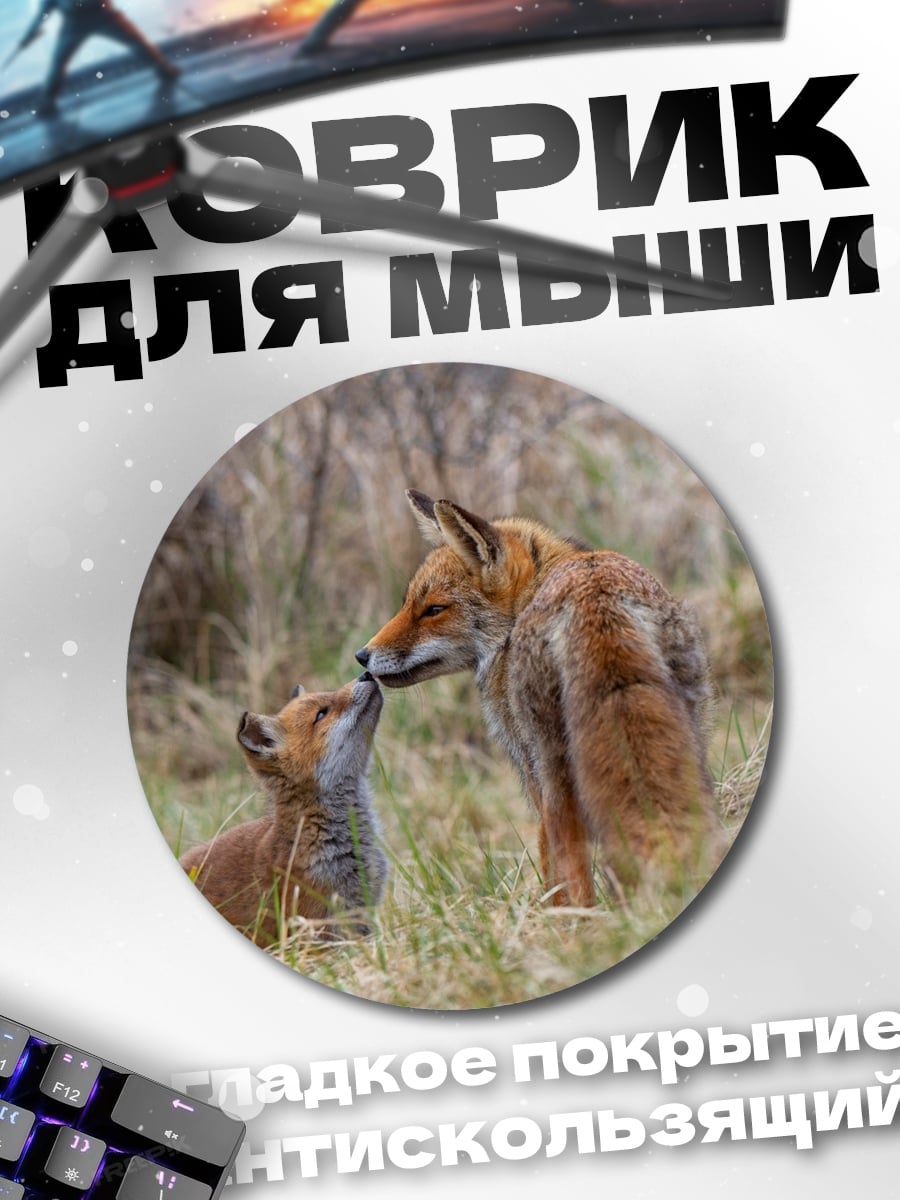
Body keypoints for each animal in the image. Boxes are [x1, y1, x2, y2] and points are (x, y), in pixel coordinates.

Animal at [356, 489, 723, 907]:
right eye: (407, 604)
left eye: (434, 609)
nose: (362, 656)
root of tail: (597, 596)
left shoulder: (531, 770)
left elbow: (552, 864)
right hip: (691, 738)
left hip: (555, 767)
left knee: (572, 864)